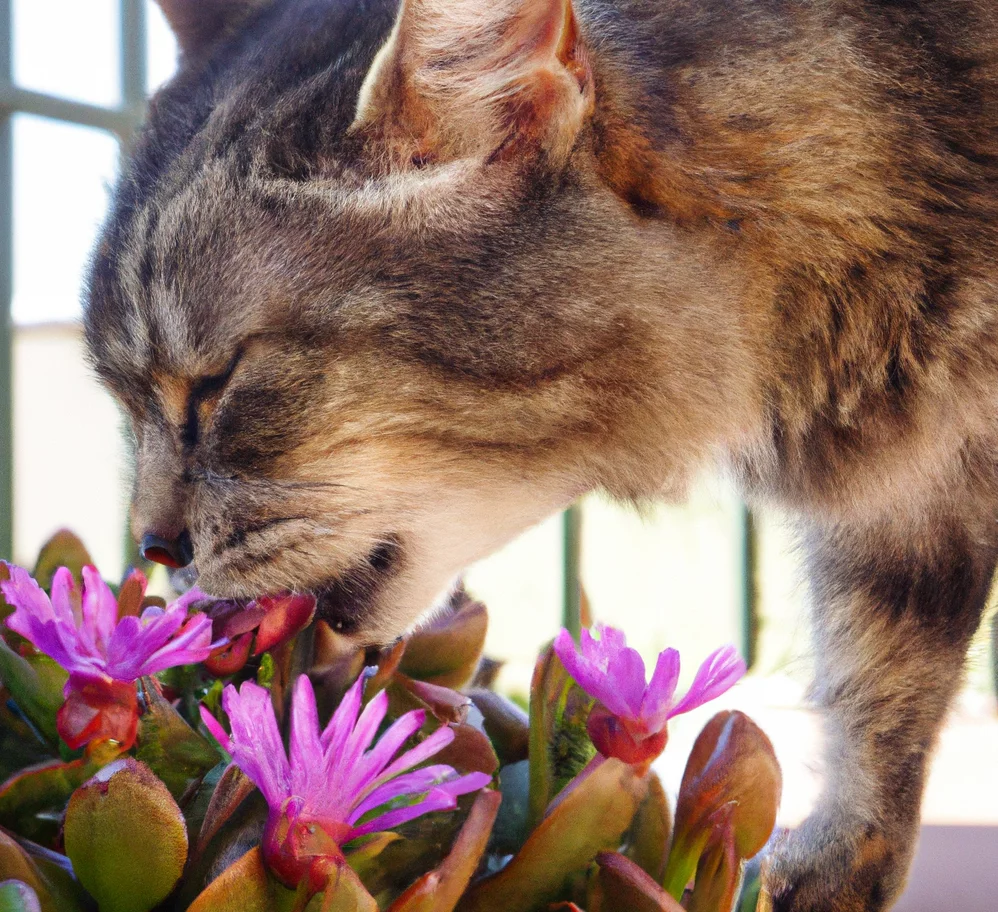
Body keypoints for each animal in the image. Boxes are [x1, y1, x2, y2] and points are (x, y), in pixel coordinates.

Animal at [82, 1, 998, 912]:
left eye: (216, 385)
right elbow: (882, 685)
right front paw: (839, 871)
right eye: (121, 400)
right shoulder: (907, 511)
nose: (153, 545)